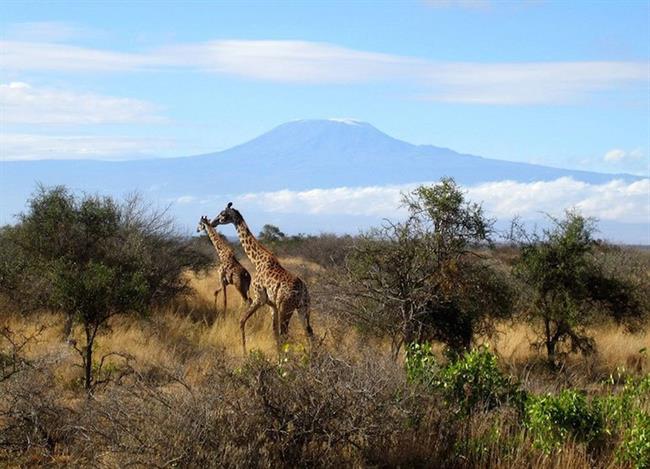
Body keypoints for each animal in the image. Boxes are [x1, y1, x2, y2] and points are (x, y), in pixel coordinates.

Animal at [210, 202, 312, 354]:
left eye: (222, 214)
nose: (213, 222)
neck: (257, 260)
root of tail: (302, 291)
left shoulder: (260, 298)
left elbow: (242, 321)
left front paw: (245, 352)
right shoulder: (272, 305)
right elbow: (274, 332)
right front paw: (278, 356)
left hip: (286, 307)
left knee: (286, 333)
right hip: (303, 307)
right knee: (308, 332)